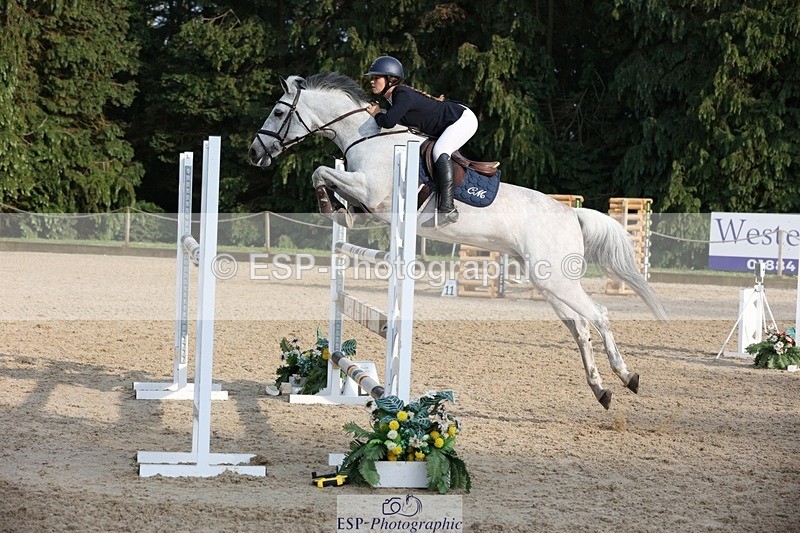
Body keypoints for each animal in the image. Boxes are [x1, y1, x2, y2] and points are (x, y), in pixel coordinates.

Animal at [248, 71, 668, 409]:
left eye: (279, 113)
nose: (254, 153)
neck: (364, 138)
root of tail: (571, 215)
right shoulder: (366, 194)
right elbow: (327, 179)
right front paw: (339, 210)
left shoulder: (371, 190)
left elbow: (320, 171)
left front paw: (330, 206)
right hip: (548, 281)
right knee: (580, 327)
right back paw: (601, 390)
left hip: (556, 279)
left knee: (599, 315)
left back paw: (627, 376)